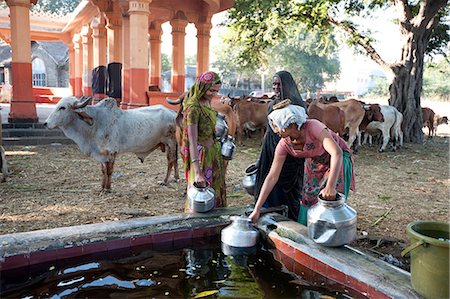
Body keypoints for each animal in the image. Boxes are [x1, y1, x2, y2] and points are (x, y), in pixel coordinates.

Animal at [44, 96, 178, 192]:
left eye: (62, 108)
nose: (45, 123)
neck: (96, 123)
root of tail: (173, 113)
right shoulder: (101, 154)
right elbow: (103, 171)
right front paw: (102, 187)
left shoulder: (111, 152)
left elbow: (109, 171)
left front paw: (108, 188)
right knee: (174, 159)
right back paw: (175, 178)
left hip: (170, 142)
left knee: (171, 161)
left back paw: (165, 181)